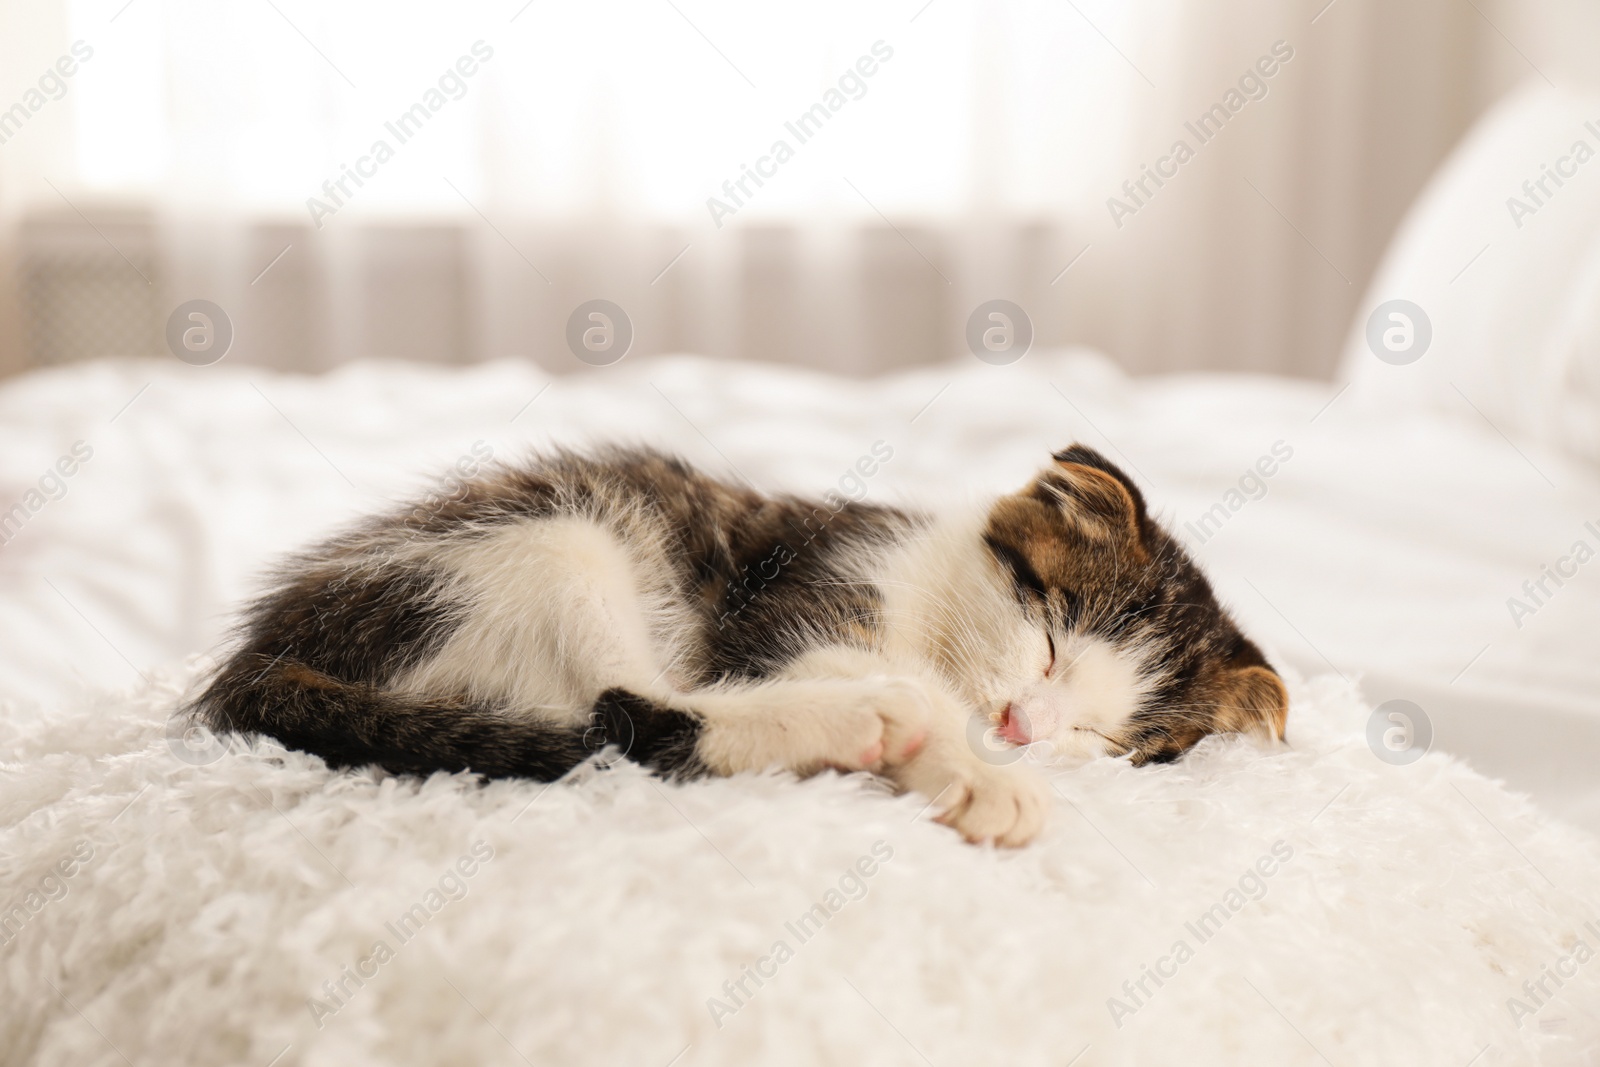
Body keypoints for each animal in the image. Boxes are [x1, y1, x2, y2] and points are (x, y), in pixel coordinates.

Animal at [187, 441, 1286, 844]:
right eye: (1051, 636)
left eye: (1106, 738)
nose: (1023, 726)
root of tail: (263, 651)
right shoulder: (791, 608)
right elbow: (888, 683)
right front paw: (974, 765)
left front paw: (970, 767)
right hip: (556, 533)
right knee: (634, 712)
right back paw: (864, 716)